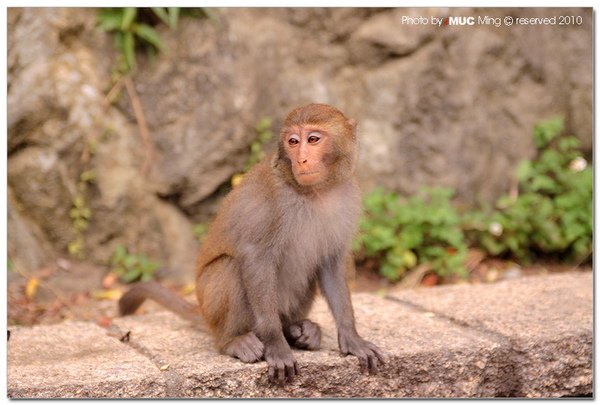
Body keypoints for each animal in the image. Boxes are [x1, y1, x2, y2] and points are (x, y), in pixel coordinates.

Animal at [119, 102, 386, 384]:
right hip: (214, 309)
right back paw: (235, 341)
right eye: (293, 142)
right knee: (229, 268)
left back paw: (299, 330)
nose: (301, 159)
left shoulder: (347, 197)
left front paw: (352, 338)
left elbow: (330, 265)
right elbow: (256, 259)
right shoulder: (267, 201)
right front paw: (276, 346)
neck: (315, 192)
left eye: (313, 139)